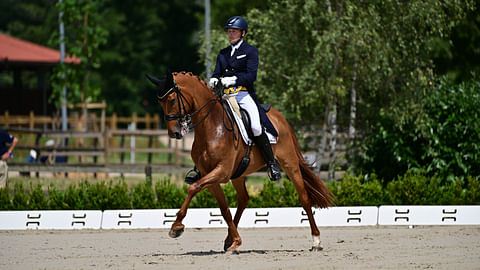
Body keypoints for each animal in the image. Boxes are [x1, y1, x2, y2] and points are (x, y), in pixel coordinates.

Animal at [146, 70, 334, 253]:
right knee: (243, 199)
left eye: (171, 100)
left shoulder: (221, 172)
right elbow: (223, 209)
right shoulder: (210, 175)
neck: (211, 127)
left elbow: (193, 188)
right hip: (239, 173)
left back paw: (316, 242)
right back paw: (229, 241)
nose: (174, 133)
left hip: (289, 163)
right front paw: (235, 241)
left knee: (304, 198)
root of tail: (279, 117)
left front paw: (176, 227)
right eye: (160, 102)